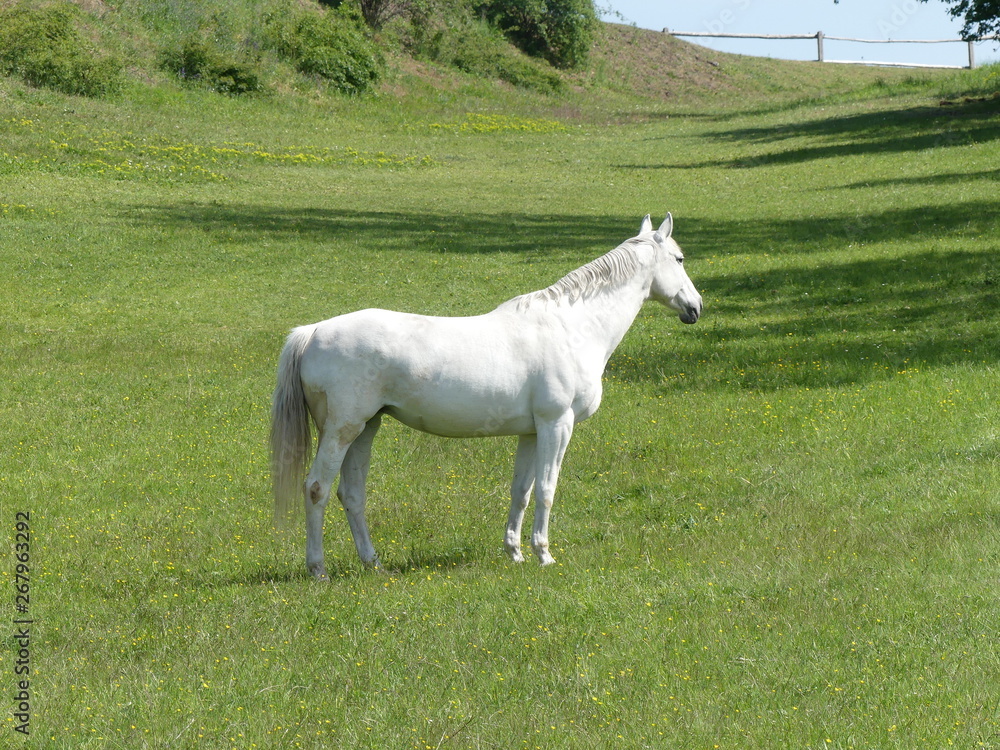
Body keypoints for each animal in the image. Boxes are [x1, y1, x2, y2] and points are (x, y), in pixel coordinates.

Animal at [270, 214, 700, 580]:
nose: (695, 307)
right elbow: (547, 490)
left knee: (352, 494)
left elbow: (522, 491)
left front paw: (515, 552)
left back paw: (373, 563)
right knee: (317, 489)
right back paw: (318, 569)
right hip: (342, 430)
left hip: (365, 429)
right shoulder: (557, 424)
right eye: (679, 258)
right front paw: (544, 555)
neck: (571, 326)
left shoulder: (532, 432)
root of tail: (313, 331)